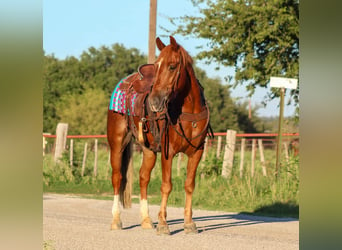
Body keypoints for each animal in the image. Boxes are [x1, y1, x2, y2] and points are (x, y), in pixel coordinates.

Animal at [107, 36, 211, 234]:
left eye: (172, 66)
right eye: (156, 66)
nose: (154, 101)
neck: (188, 113)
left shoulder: (197, 152)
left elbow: (189, 185)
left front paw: (189, 223)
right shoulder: (168, 152)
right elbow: (166, 186)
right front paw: (163, 224)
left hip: (148, 150)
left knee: (143, 178)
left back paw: (146, 220)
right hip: (117, 143)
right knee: (117, 177)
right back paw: (116, 220)